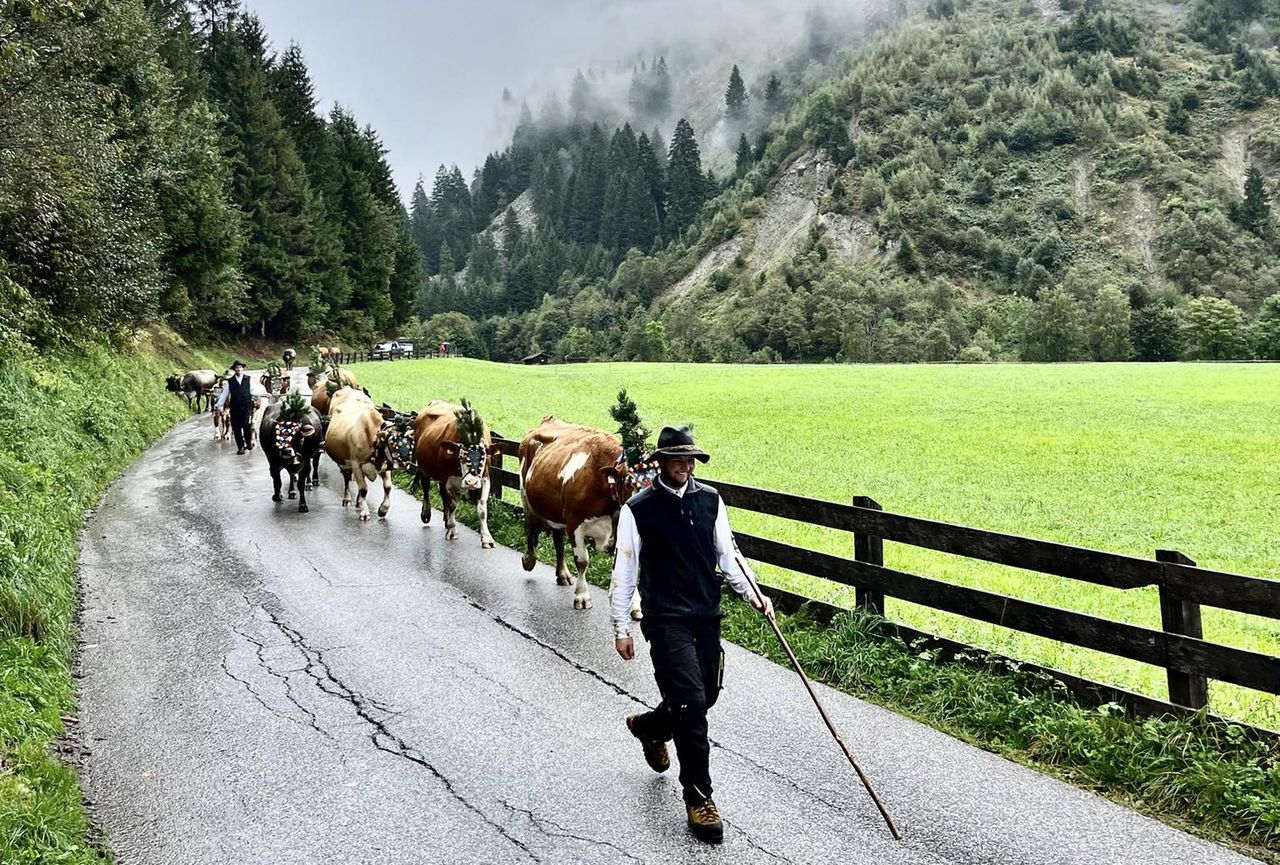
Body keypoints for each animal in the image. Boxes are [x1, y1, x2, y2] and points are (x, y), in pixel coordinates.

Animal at [325, 386, 414, 519]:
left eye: (411, 443)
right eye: (391, 443)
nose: (404, 464)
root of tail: (348, 388)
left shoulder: (385, 465)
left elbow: (388, 487)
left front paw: (383, 509)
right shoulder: (356, 463)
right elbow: (363, 489)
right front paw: (365, 512)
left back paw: (358, 501)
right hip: (344, 462)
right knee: (347, 478)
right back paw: (347, 499)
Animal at [414, 399, 504, 547]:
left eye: (484, 458)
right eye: (461, 457)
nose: (471, 482)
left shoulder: (485, 480)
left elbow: (482, 508)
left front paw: (487, 538)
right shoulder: (448, 480)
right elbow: (453, 504)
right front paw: (452, 531)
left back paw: (446, 519)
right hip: (424, 467)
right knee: (426, 487)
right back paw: (427, 514)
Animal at [519, 414, 640, 611]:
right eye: (629, 483)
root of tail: (549, 420)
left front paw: (634, 604)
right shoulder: (575, 522)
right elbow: (582, 561)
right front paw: (582, 596)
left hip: (556, 511)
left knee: (557, 539)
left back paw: (562, 574)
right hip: (526, 496)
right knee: (530, 527)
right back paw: (529, 560)